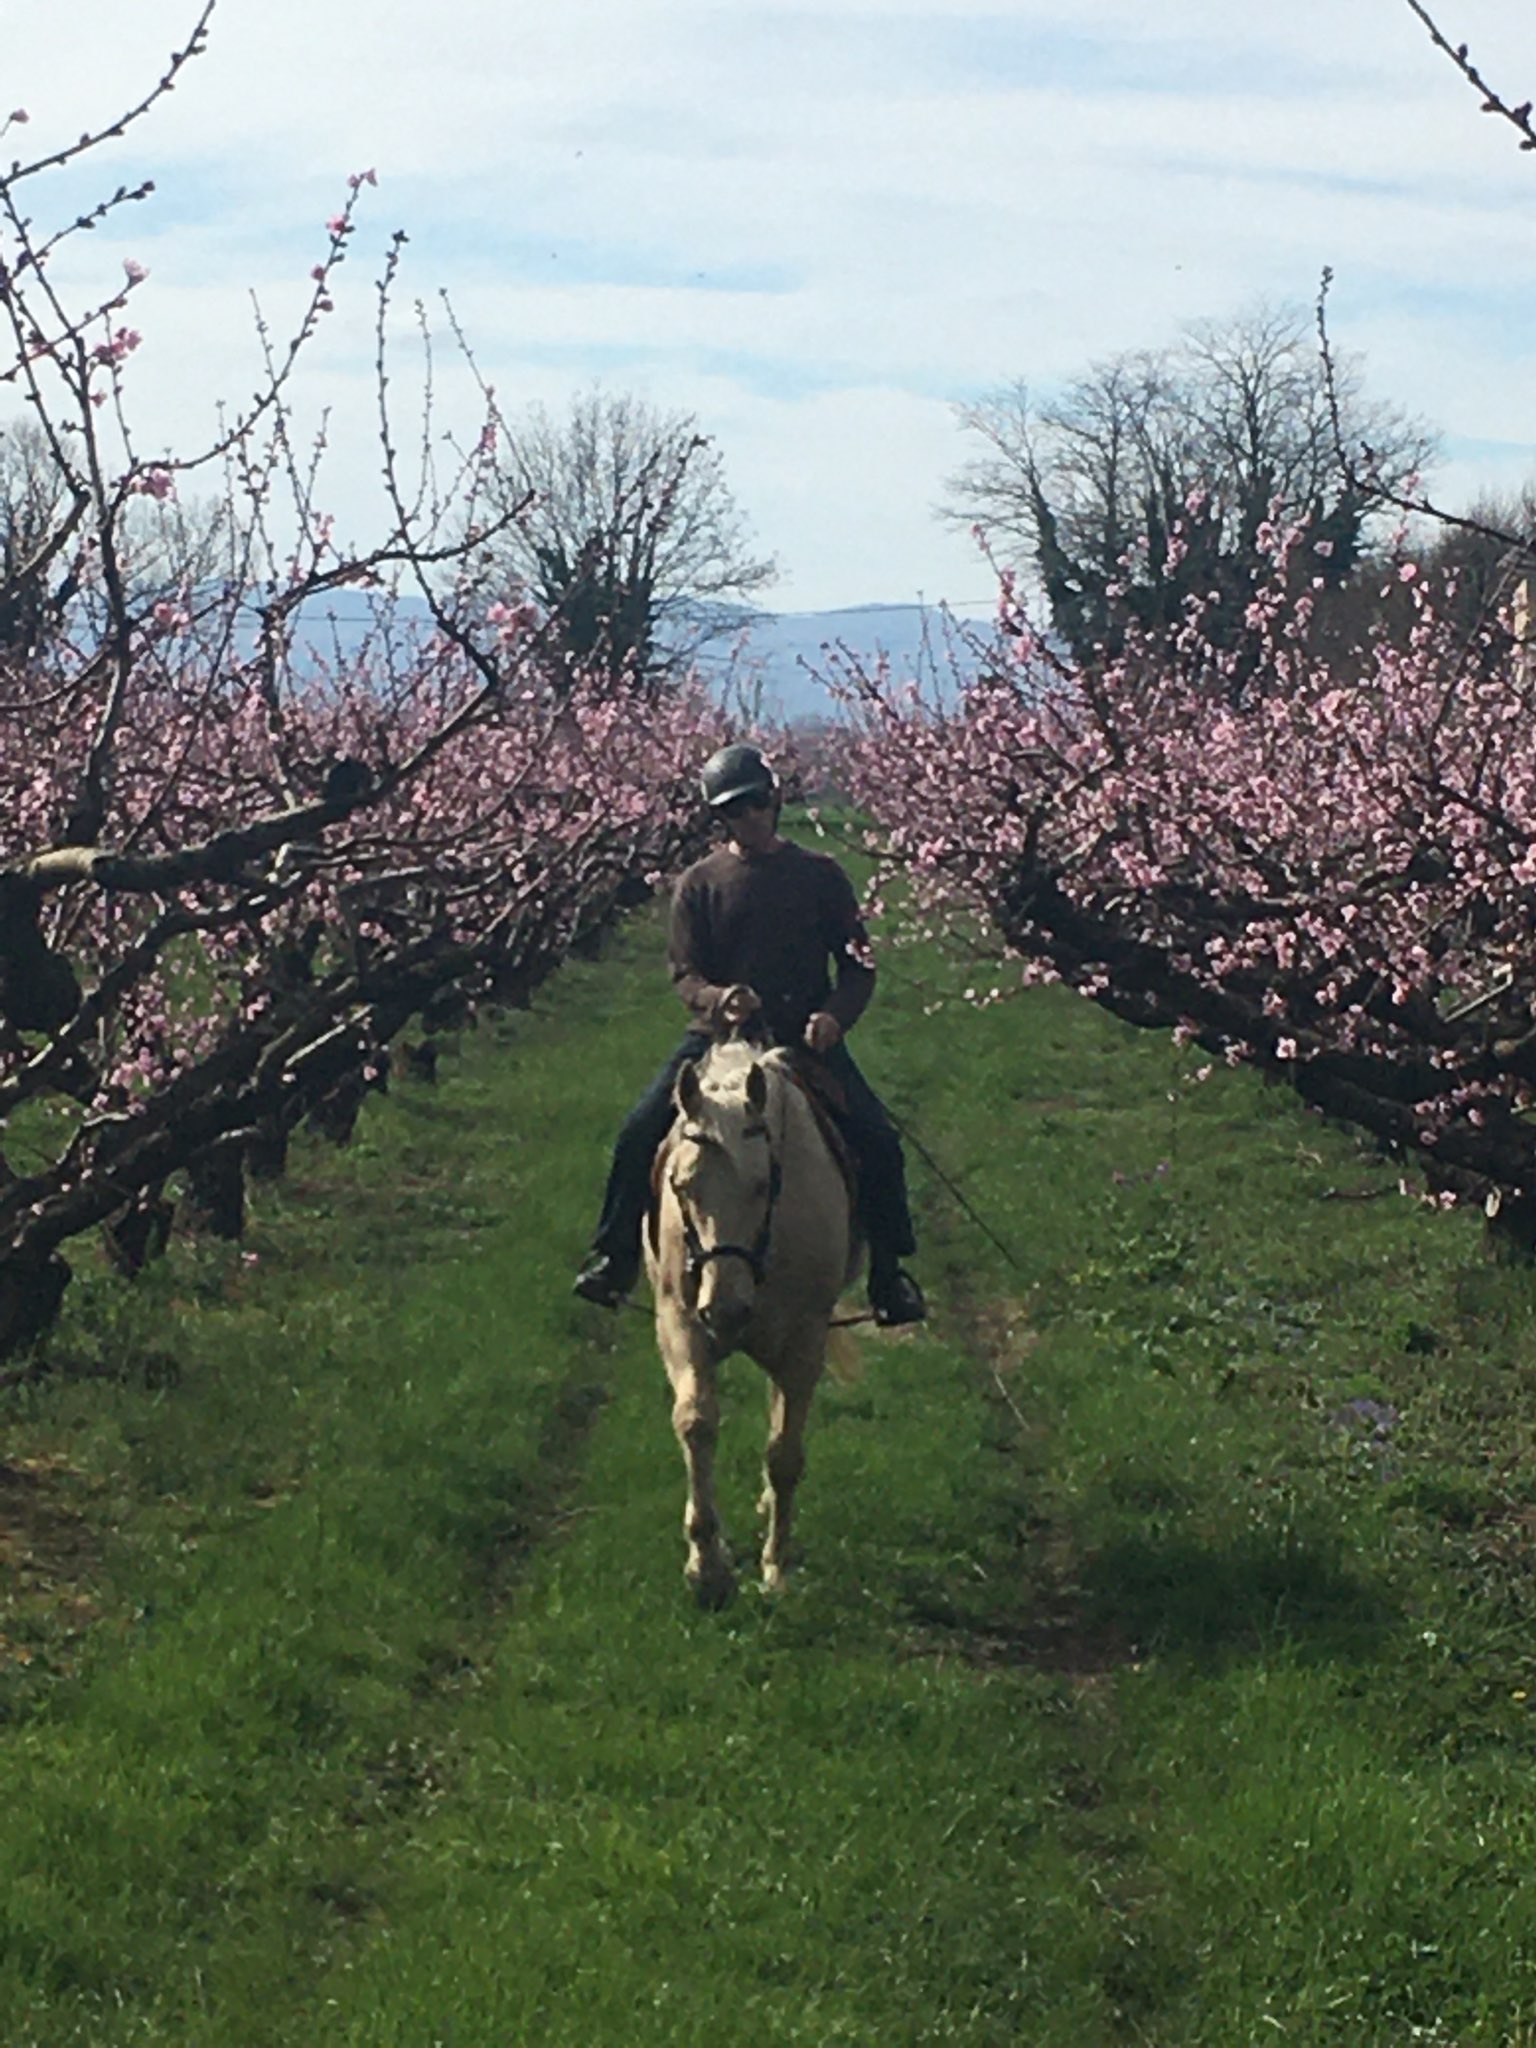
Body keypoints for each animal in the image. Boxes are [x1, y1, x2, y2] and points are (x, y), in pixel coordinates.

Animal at [646, 1033, 860, 1607]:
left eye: (765, 1184)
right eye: (682, 1186)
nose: (726, 1309)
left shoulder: (805, 1337)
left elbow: (784, 1454)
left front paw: (775, 1569)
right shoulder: (680, 1322)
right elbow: (696, 1423)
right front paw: (707, 1567)